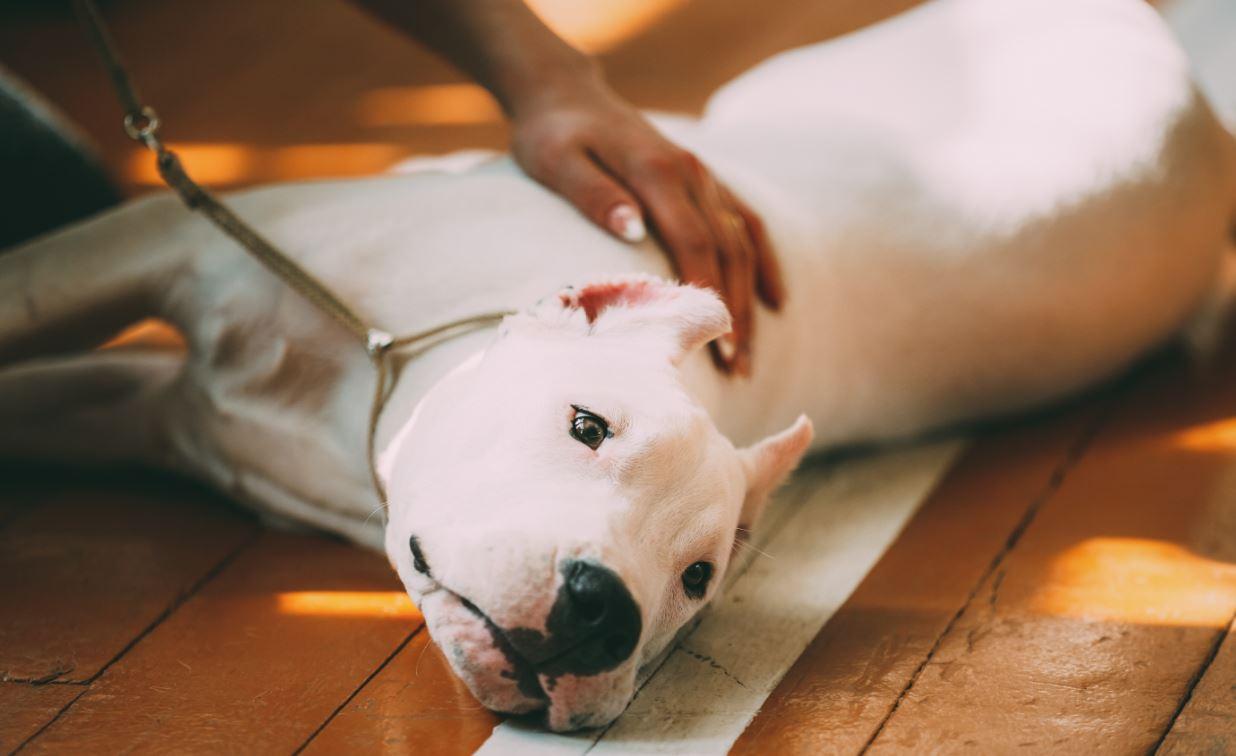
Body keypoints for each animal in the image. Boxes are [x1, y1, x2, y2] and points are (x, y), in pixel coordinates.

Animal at [2, 0, 1236, 736]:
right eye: (586, 425)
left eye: (696, 581)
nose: (601, 614)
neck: (372, 382)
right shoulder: (155, 255)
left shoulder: (150, 403)